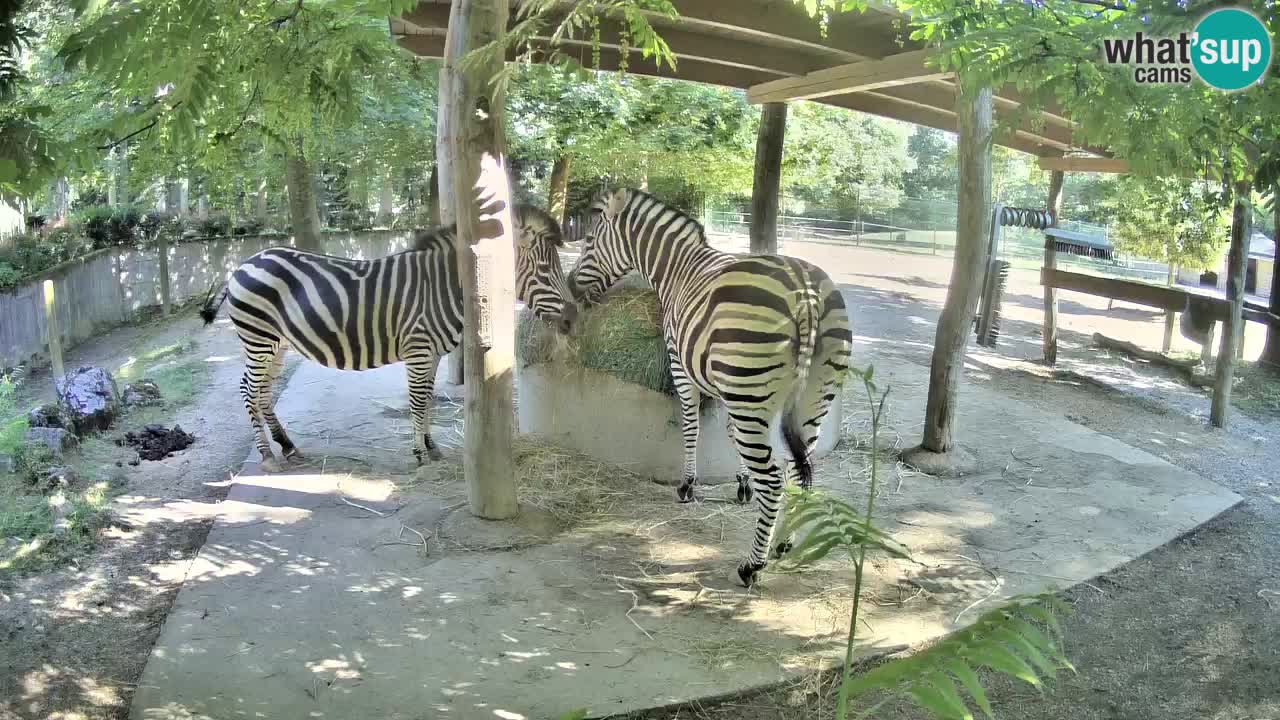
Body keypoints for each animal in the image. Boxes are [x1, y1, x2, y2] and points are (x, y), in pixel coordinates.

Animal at [200, 205, 576, 473]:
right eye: (545, 270)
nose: (573, 319)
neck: (447, 287)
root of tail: (242, 264)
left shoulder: (433, 354)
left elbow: (427, 399)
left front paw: (431, 447)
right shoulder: (419, 349)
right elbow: (418, 401)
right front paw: (419, 453)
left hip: (276, 343)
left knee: (264, 392)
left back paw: (288, 446)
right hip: (259, 338)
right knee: (248, 390)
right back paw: (266, 455)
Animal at [568, 189, 852, 587]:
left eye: (590, 240)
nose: (570, 285)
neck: (677, 269)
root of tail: (806, 294)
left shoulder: (681, 366)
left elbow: (692, 428)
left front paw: (688, 485)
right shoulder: (730, 387)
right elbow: (731, 434)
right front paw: (743, 484)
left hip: (755, 388)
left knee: (775, 479)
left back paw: (752, 565)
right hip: (812, 397)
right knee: (800, 470)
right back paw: (784, 541)